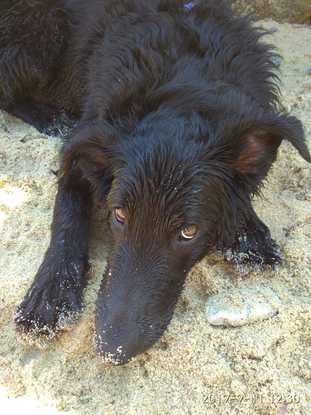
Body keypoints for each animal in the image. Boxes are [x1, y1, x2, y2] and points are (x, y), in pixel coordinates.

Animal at [1, 0, 310, 364]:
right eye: (119, 215)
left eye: (188, 231)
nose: (111, 350)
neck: (184, 84)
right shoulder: (80, 151)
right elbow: (66, 218)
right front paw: (49, 295)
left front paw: (249, 232)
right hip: (41, 36)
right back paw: (50, 117)